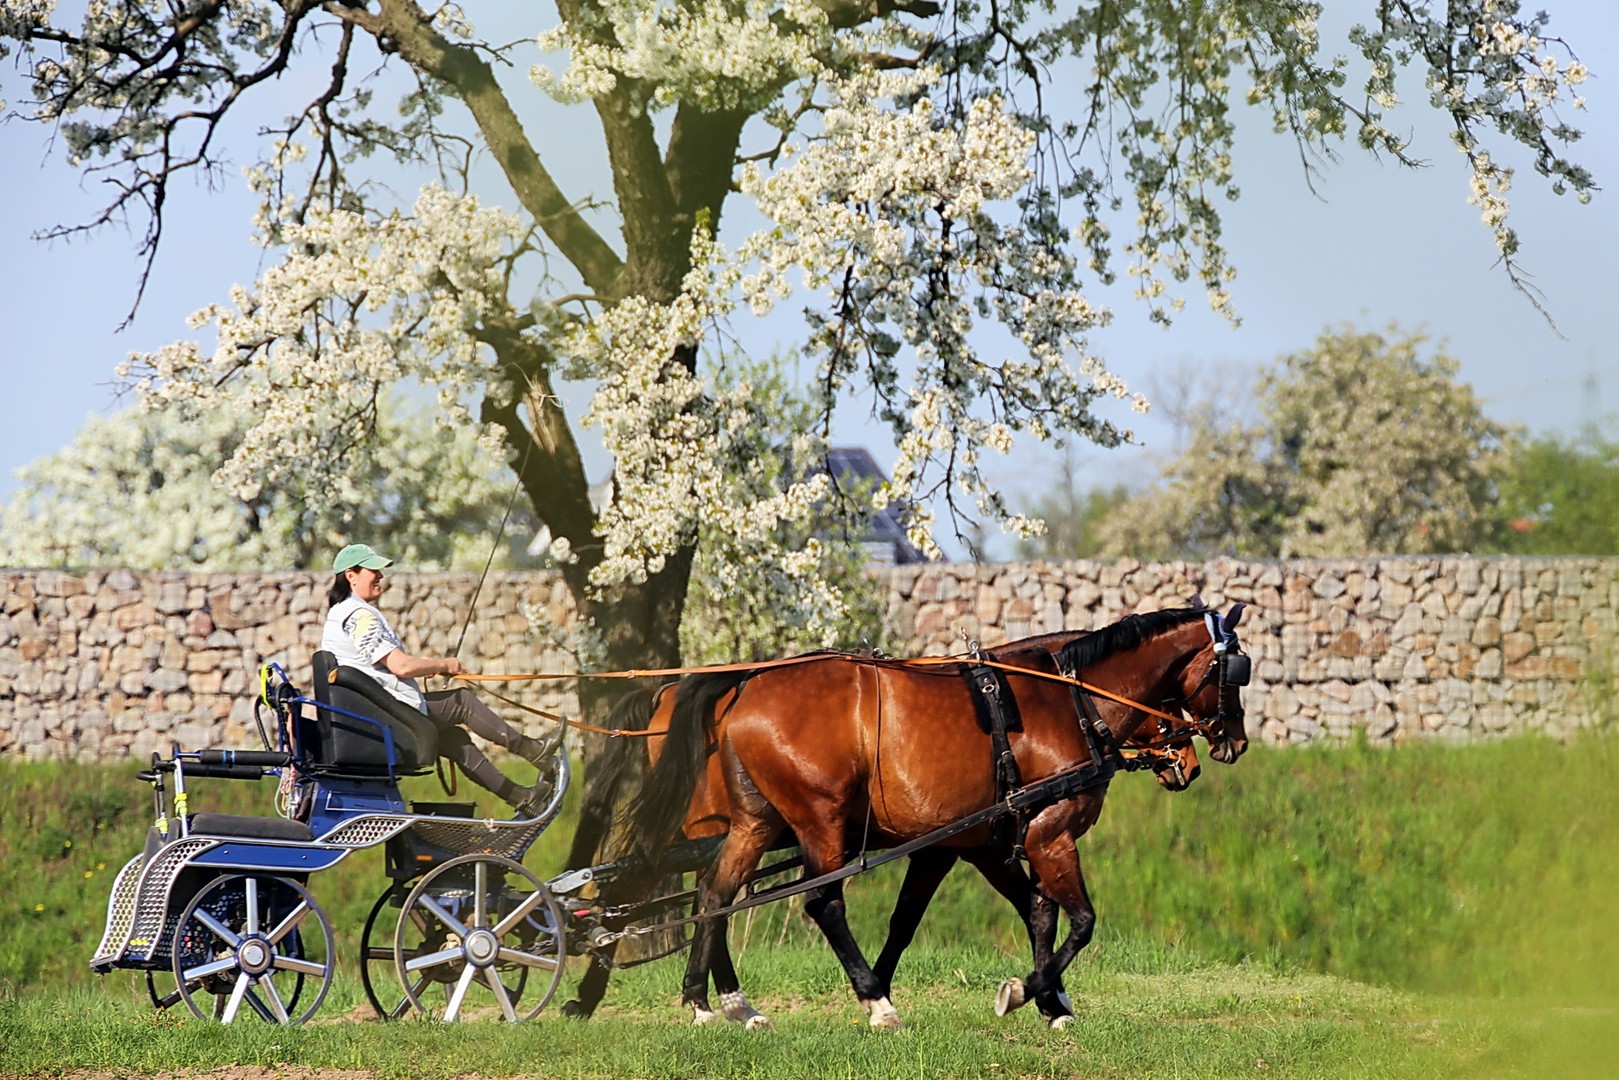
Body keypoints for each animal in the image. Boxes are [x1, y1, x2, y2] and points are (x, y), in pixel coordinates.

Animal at [569, 605, 1249, 1029]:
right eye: (1233, 671)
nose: (1223, 748)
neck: (1068, 699)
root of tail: (743, 685)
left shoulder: (966, 842)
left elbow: (1007, 913)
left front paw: (1050, 1000)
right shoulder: (1046, 834)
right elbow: (1078, 921)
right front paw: (1025, 991)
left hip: (753, 823)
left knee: (715, 893)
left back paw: (715, 1002)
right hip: (817, 822)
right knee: (819, 903)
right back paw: (872, 1003)